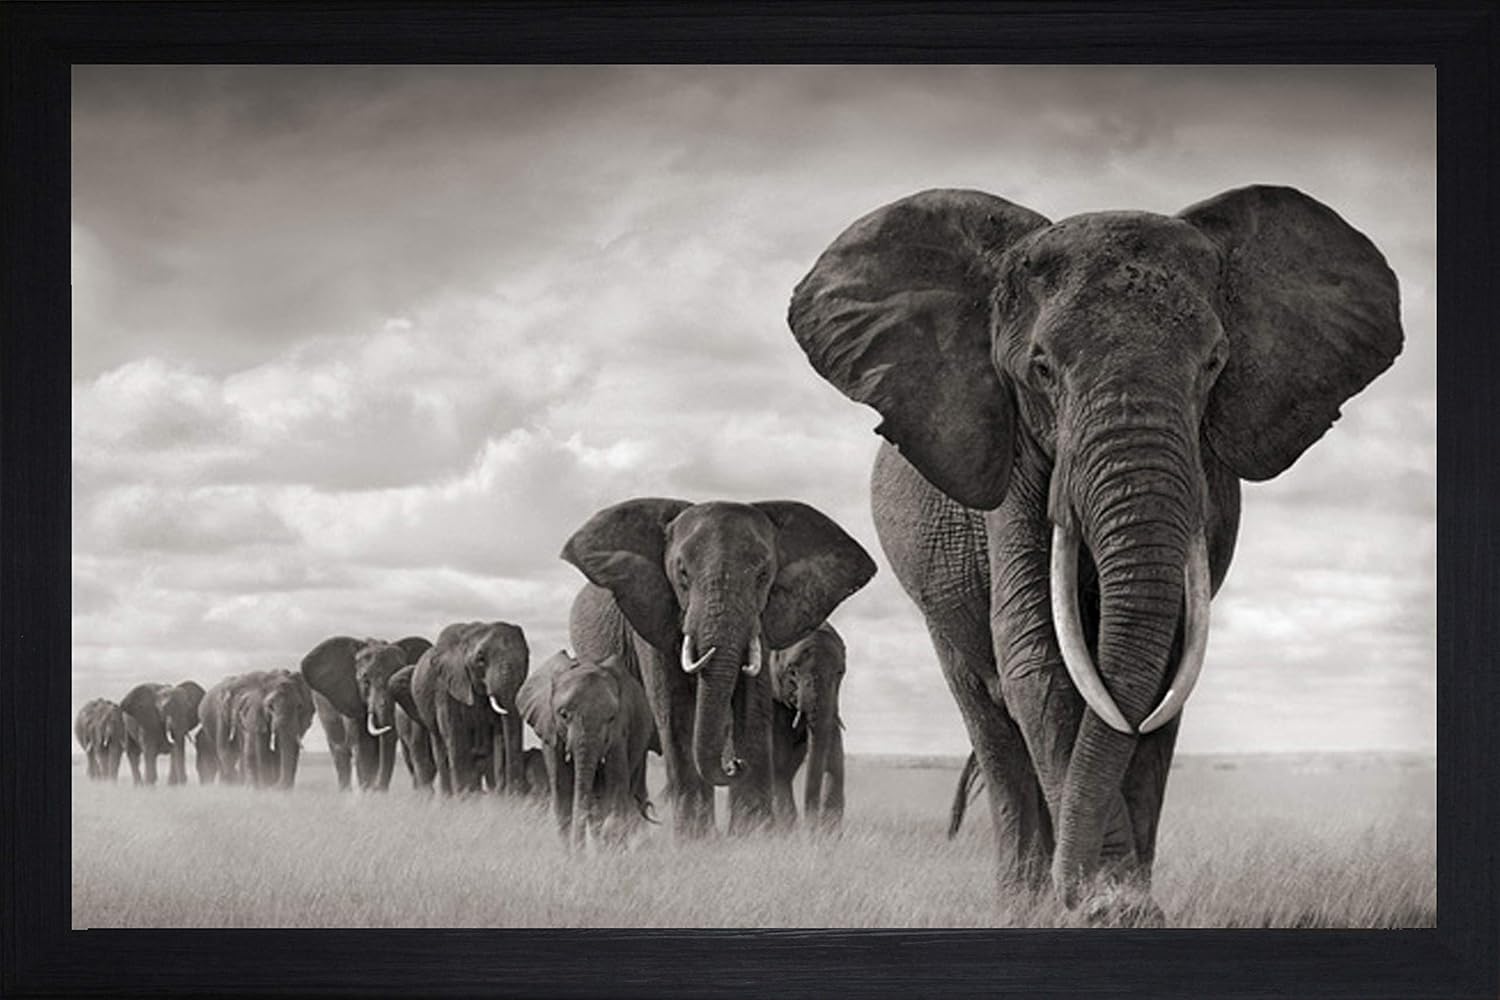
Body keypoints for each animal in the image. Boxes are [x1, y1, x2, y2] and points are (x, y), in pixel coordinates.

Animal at [301, 635, 430, 792]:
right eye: (366, 681)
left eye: (397, 678)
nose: (377, 788)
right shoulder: (350, 698)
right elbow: (363, 747)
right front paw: (367, 792)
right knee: (340, 751)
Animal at [401, 622, 530, 796]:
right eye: (480, 659)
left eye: (527, 658)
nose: (515, 792)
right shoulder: (447, 688)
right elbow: (455, 735)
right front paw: (465, 798)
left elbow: (499, 735)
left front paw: (498, 798)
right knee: (440, 749)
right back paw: (448, 797)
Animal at [517, 649, 660, 848]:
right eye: (563, 714)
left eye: (611, 718)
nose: (579, 851)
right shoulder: (550, 730)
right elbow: (562, 791)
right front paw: (571, 853)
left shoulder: (619, 732)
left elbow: (615, 786)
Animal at [768, 622, 847, 831]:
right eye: (792, 671)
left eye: (840, 672)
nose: (810, 829)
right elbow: (777, 766)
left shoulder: (832, 705)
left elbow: (835, 763)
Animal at [787, 185, 1403, 921]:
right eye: (1042, 368)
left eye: (1214, 365)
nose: (1080, 893)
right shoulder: (1014, 461)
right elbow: (1039, 658)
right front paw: (1107, 908)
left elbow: (1165, 667)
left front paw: (1125, 906)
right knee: (989, 719)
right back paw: (1022, 903)